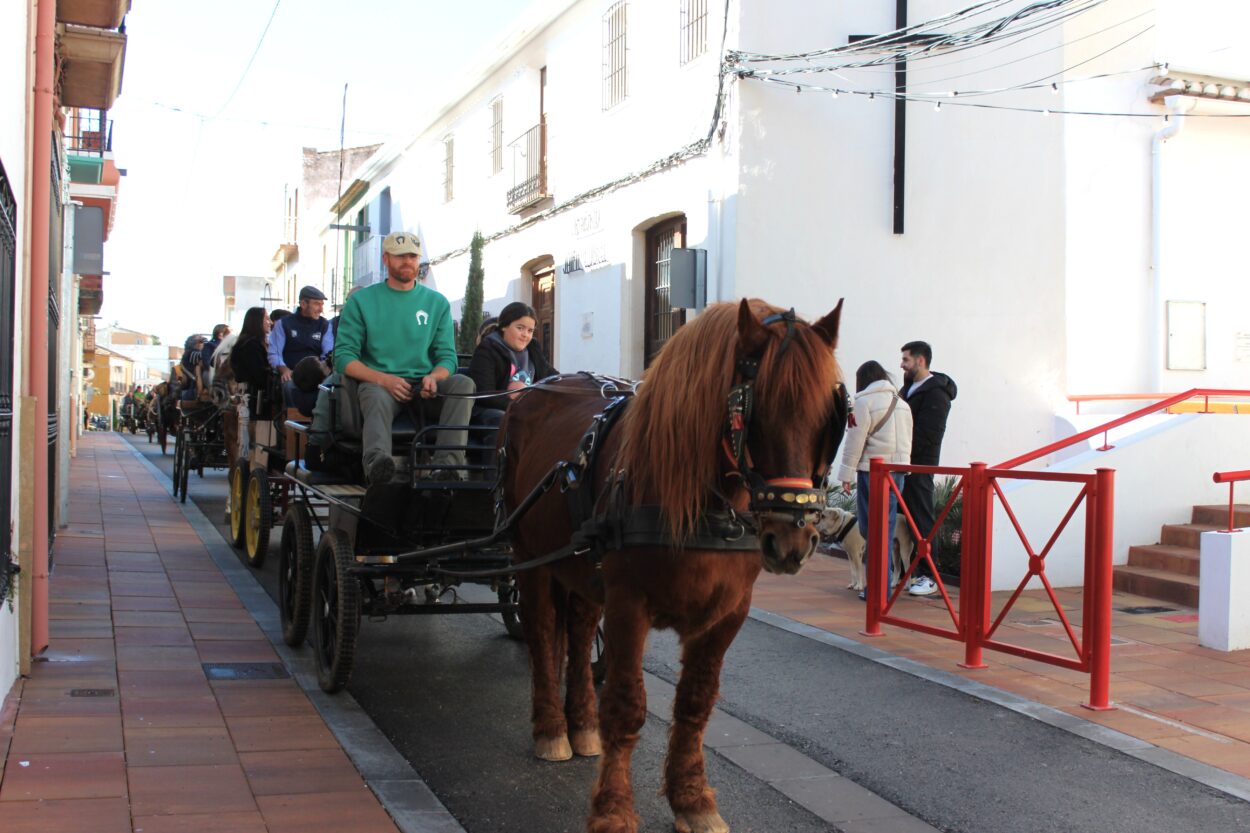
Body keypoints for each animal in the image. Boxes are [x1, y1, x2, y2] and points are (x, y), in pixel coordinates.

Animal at [501, 298, 845, 833]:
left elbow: (695, 704)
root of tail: (534, 392)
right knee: (541, 633)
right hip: (529, 556)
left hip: (580, 567)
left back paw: (582, 726)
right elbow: (626, 707)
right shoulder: (628, 605)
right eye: (755, 409)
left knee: (578, 633)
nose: (792, 541)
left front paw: (693, 799)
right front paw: (614, 810)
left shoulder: (727, 615)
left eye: (829, 418)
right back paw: (552, 729)